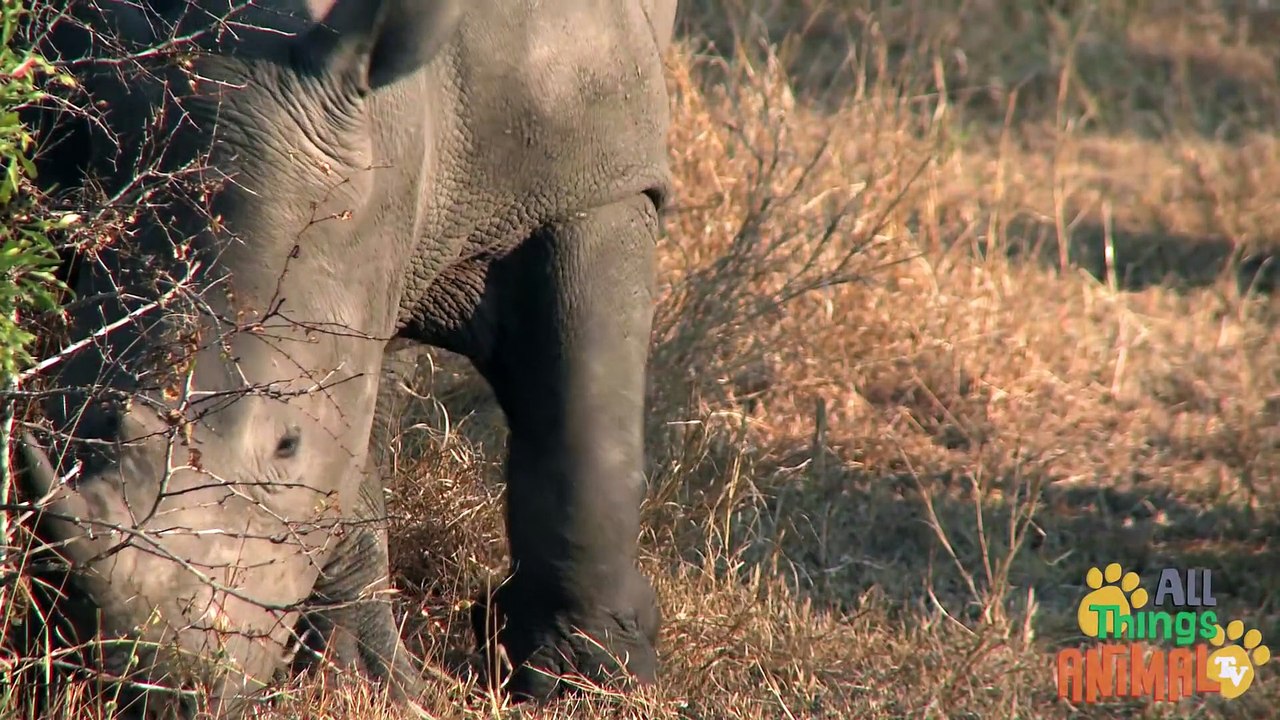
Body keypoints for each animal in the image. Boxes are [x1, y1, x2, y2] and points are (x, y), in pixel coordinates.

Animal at [13, 0, 677, 716]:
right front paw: (361, 686)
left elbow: (585, 439)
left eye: (287, 445)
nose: (143, 688)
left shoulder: (595, 184)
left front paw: (598, 684)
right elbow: (348, 464)